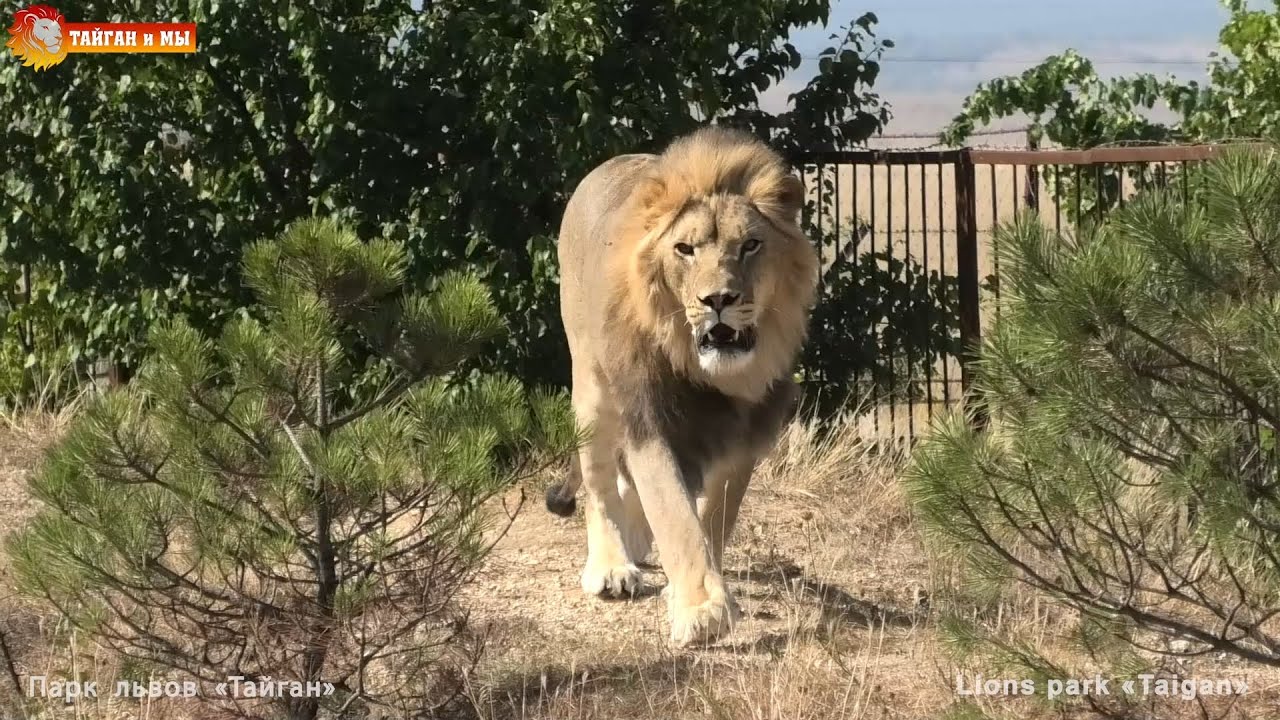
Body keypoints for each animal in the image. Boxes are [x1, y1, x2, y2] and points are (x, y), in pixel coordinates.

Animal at [545, 126, 820, 646]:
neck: (714, 373)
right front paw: (702, 609)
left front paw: (692, 589)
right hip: (591, 385)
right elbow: (674, 512)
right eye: (685, 250)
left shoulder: (744, 433)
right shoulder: (651, 421)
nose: (719, 300)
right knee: (599, 481)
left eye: (750, 245)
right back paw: (612, 567)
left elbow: (715, 519)